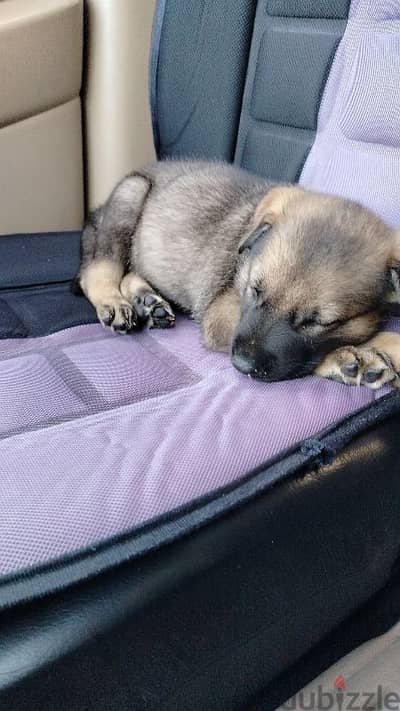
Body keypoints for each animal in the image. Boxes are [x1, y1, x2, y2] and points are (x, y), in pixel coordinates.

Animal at [74, 161, 400, 390]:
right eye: (254, 290)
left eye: (318, 322)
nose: (242, 366)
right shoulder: (220, 313)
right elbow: (310, 356)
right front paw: (348, 356)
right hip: (131, 193)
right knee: (98, 269)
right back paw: (114, 301)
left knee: (130, 272)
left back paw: (148, 301)